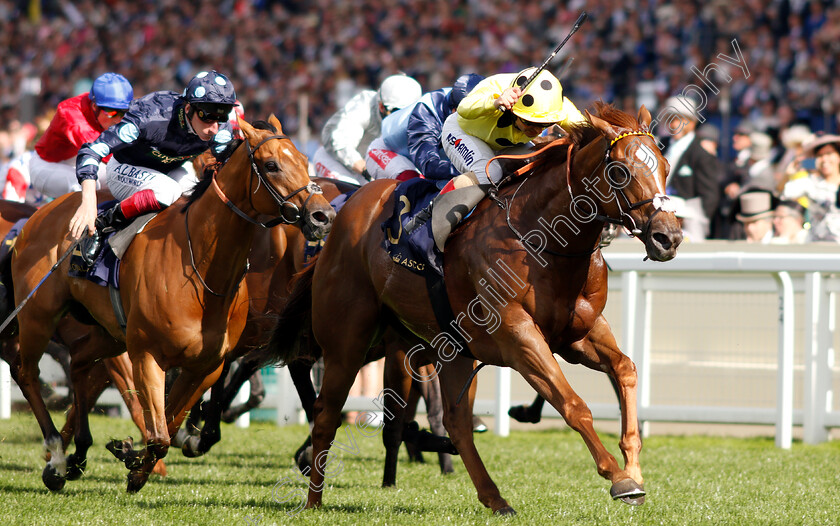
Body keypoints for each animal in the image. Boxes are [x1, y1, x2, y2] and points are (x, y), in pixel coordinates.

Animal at [11, 116, 334, 496]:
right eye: (271, 165)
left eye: (304, 160)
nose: (323, 215)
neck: (201, 269)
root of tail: (42, 211)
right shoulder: (147, 354)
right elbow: (161, 433)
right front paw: (136, 460)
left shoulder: (207, 365)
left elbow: (168, 423)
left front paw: (133, 458)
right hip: (38, 315)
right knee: (26, 372)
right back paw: (57, 457)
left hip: (109, 333)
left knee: (78, 364)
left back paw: (76, 454)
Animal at [276, 103, 684, 516]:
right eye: (621, 170)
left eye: (666, 166)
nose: (668, 237)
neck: (543, 240)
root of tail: (343, 214)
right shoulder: (518, 337)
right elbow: (573, 404)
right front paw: (620, 479)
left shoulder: (579, 335)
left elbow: (626, 370)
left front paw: (633, 466)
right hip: (348, 343)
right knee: (325, 414)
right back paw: (313, 499)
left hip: (450, 347)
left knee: (456, 423)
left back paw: (495, 497)